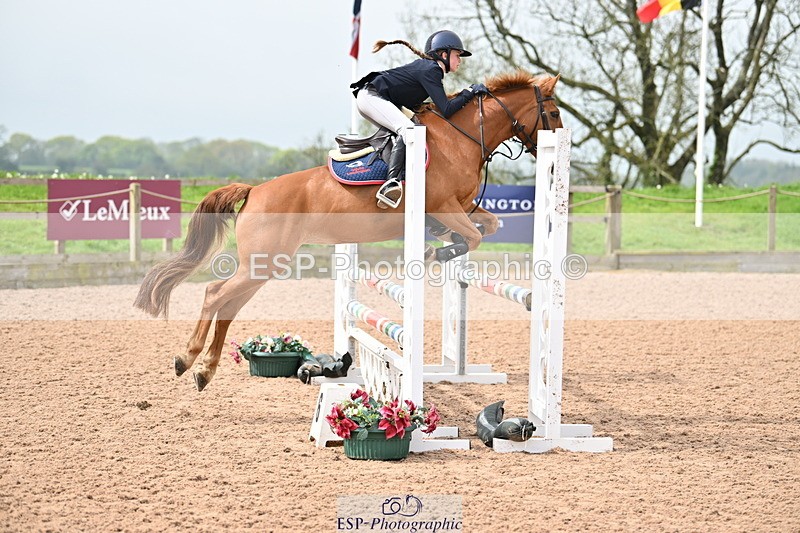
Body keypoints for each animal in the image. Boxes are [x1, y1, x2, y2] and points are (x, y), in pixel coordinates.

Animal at [134, 70, 563, 391]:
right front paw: (433, 253)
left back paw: (205, 370)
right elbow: (473, 235)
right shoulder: (444, 205)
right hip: (264, 261)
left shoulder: (459, 208)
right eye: (555, 113)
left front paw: (442, 248)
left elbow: (486, 226)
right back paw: (186, 359)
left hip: (261, 266)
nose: (553, 158)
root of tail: (254, 190)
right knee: (214, 294)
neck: (462, 138)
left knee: (228, 305)